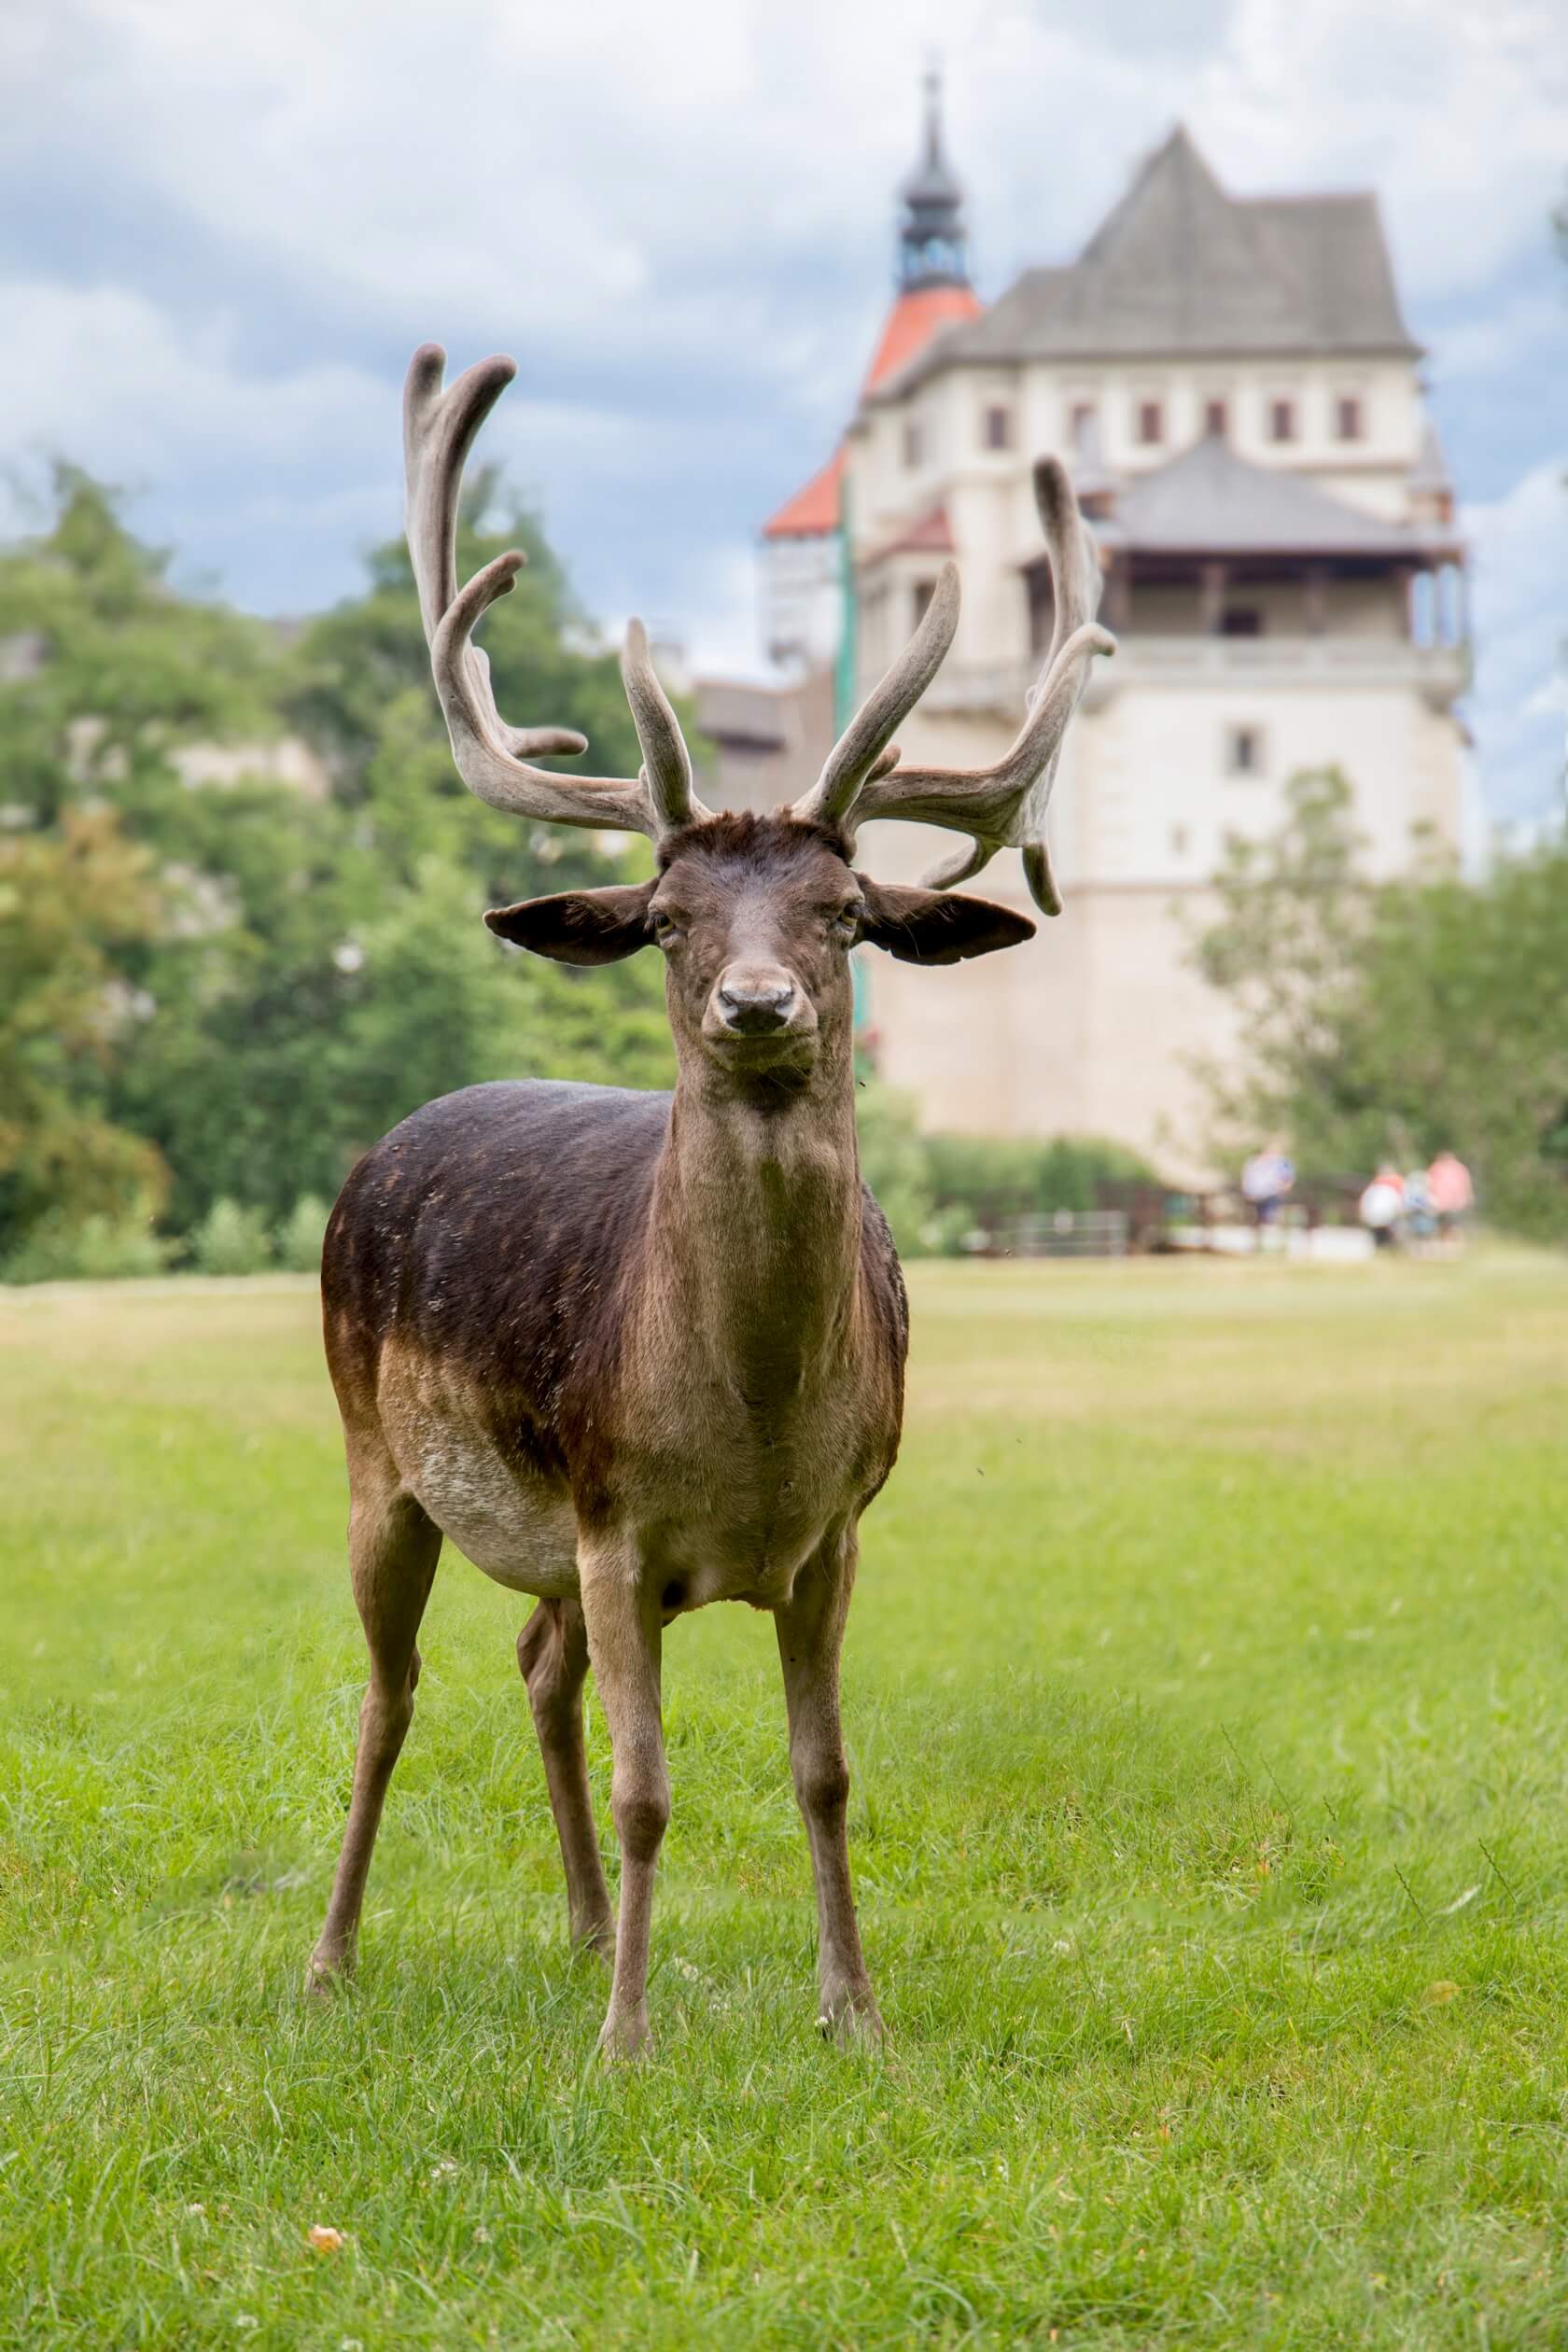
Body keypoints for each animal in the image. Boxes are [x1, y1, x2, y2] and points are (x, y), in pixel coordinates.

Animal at [310, 341, 1113, 2051]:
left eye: (848, 911)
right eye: (670, 917)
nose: (758, 1002)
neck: (747, 1422)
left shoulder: (837, 1532)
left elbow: (825, 1774)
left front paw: (853, 2013)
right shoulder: (616, 1512)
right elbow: (652, 1788)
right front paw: (627, 2042)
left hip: (546, 1541)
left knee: (533, 1666)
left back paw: (576, 1932)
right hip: (376, 1454)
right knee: (389, 1698)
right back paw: (337, 1957)